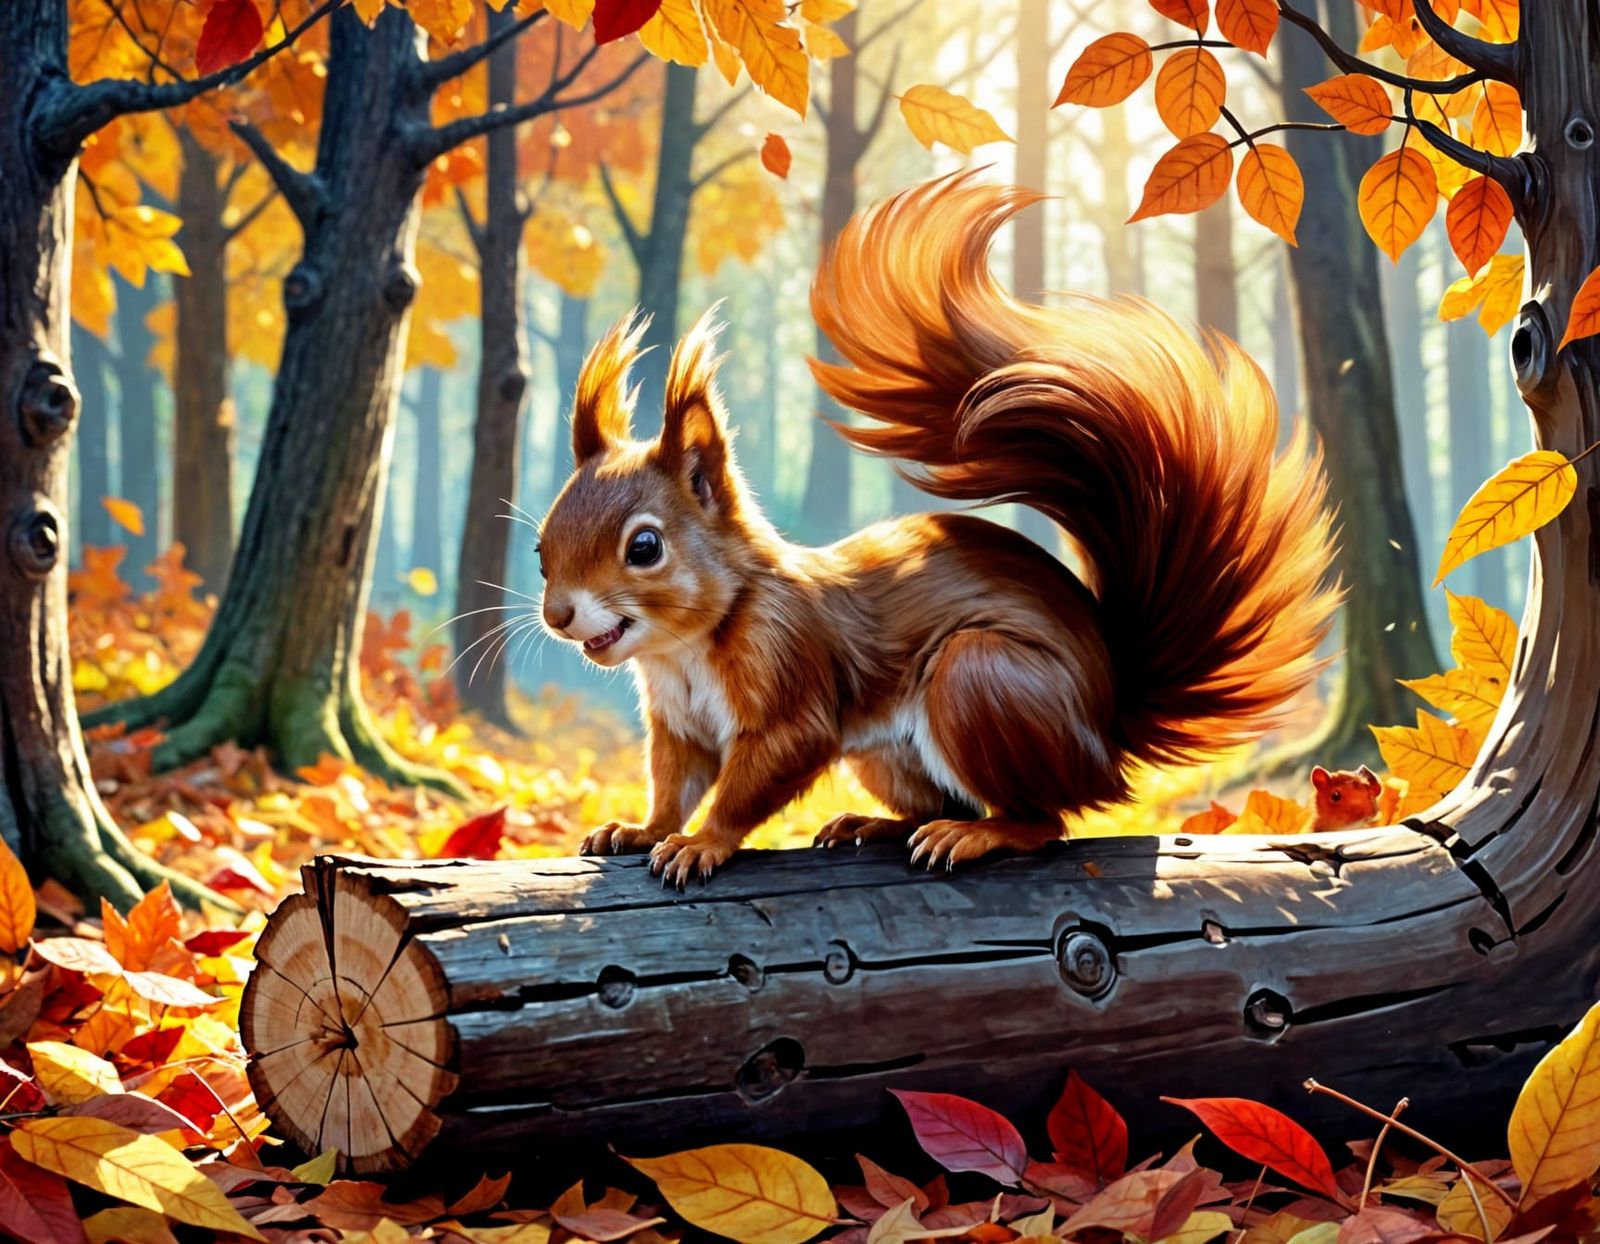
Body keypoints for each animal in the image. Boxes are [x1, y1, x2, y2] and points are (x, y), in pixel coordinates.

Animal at [536, 174, 1340, 887]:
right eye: (542, 549)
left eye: (644, 547)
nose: (558, 615)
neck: (686, 646)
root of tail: (1106, 730)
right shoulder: (677, 724)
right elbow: (674, 781)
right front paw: (640, 829)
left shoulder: (789, 666)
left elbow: (762, 771)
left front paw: (701, 843)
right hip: (888, 753)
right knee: (946, 802)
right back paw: (877, 824)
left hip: (979, 679)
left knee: (1044, 819)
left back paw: (975, 835)